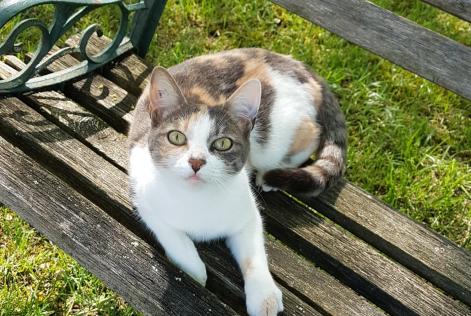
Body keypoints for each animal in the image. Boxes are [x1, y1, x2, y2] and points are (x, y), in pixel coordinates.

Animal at [128, 47, 346, 316]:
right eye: (176, 137)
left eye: (223, 143)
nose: (196, 162)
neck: (197, 200)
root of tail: (296, 64)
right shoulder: (143, 193)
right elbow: (174, 237)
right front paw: (194, 273)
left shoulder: (249, 215)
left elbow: (255, 256)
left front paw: (264, 297)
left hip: (273, 138)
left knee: (310, 134)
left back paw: (271, 175)